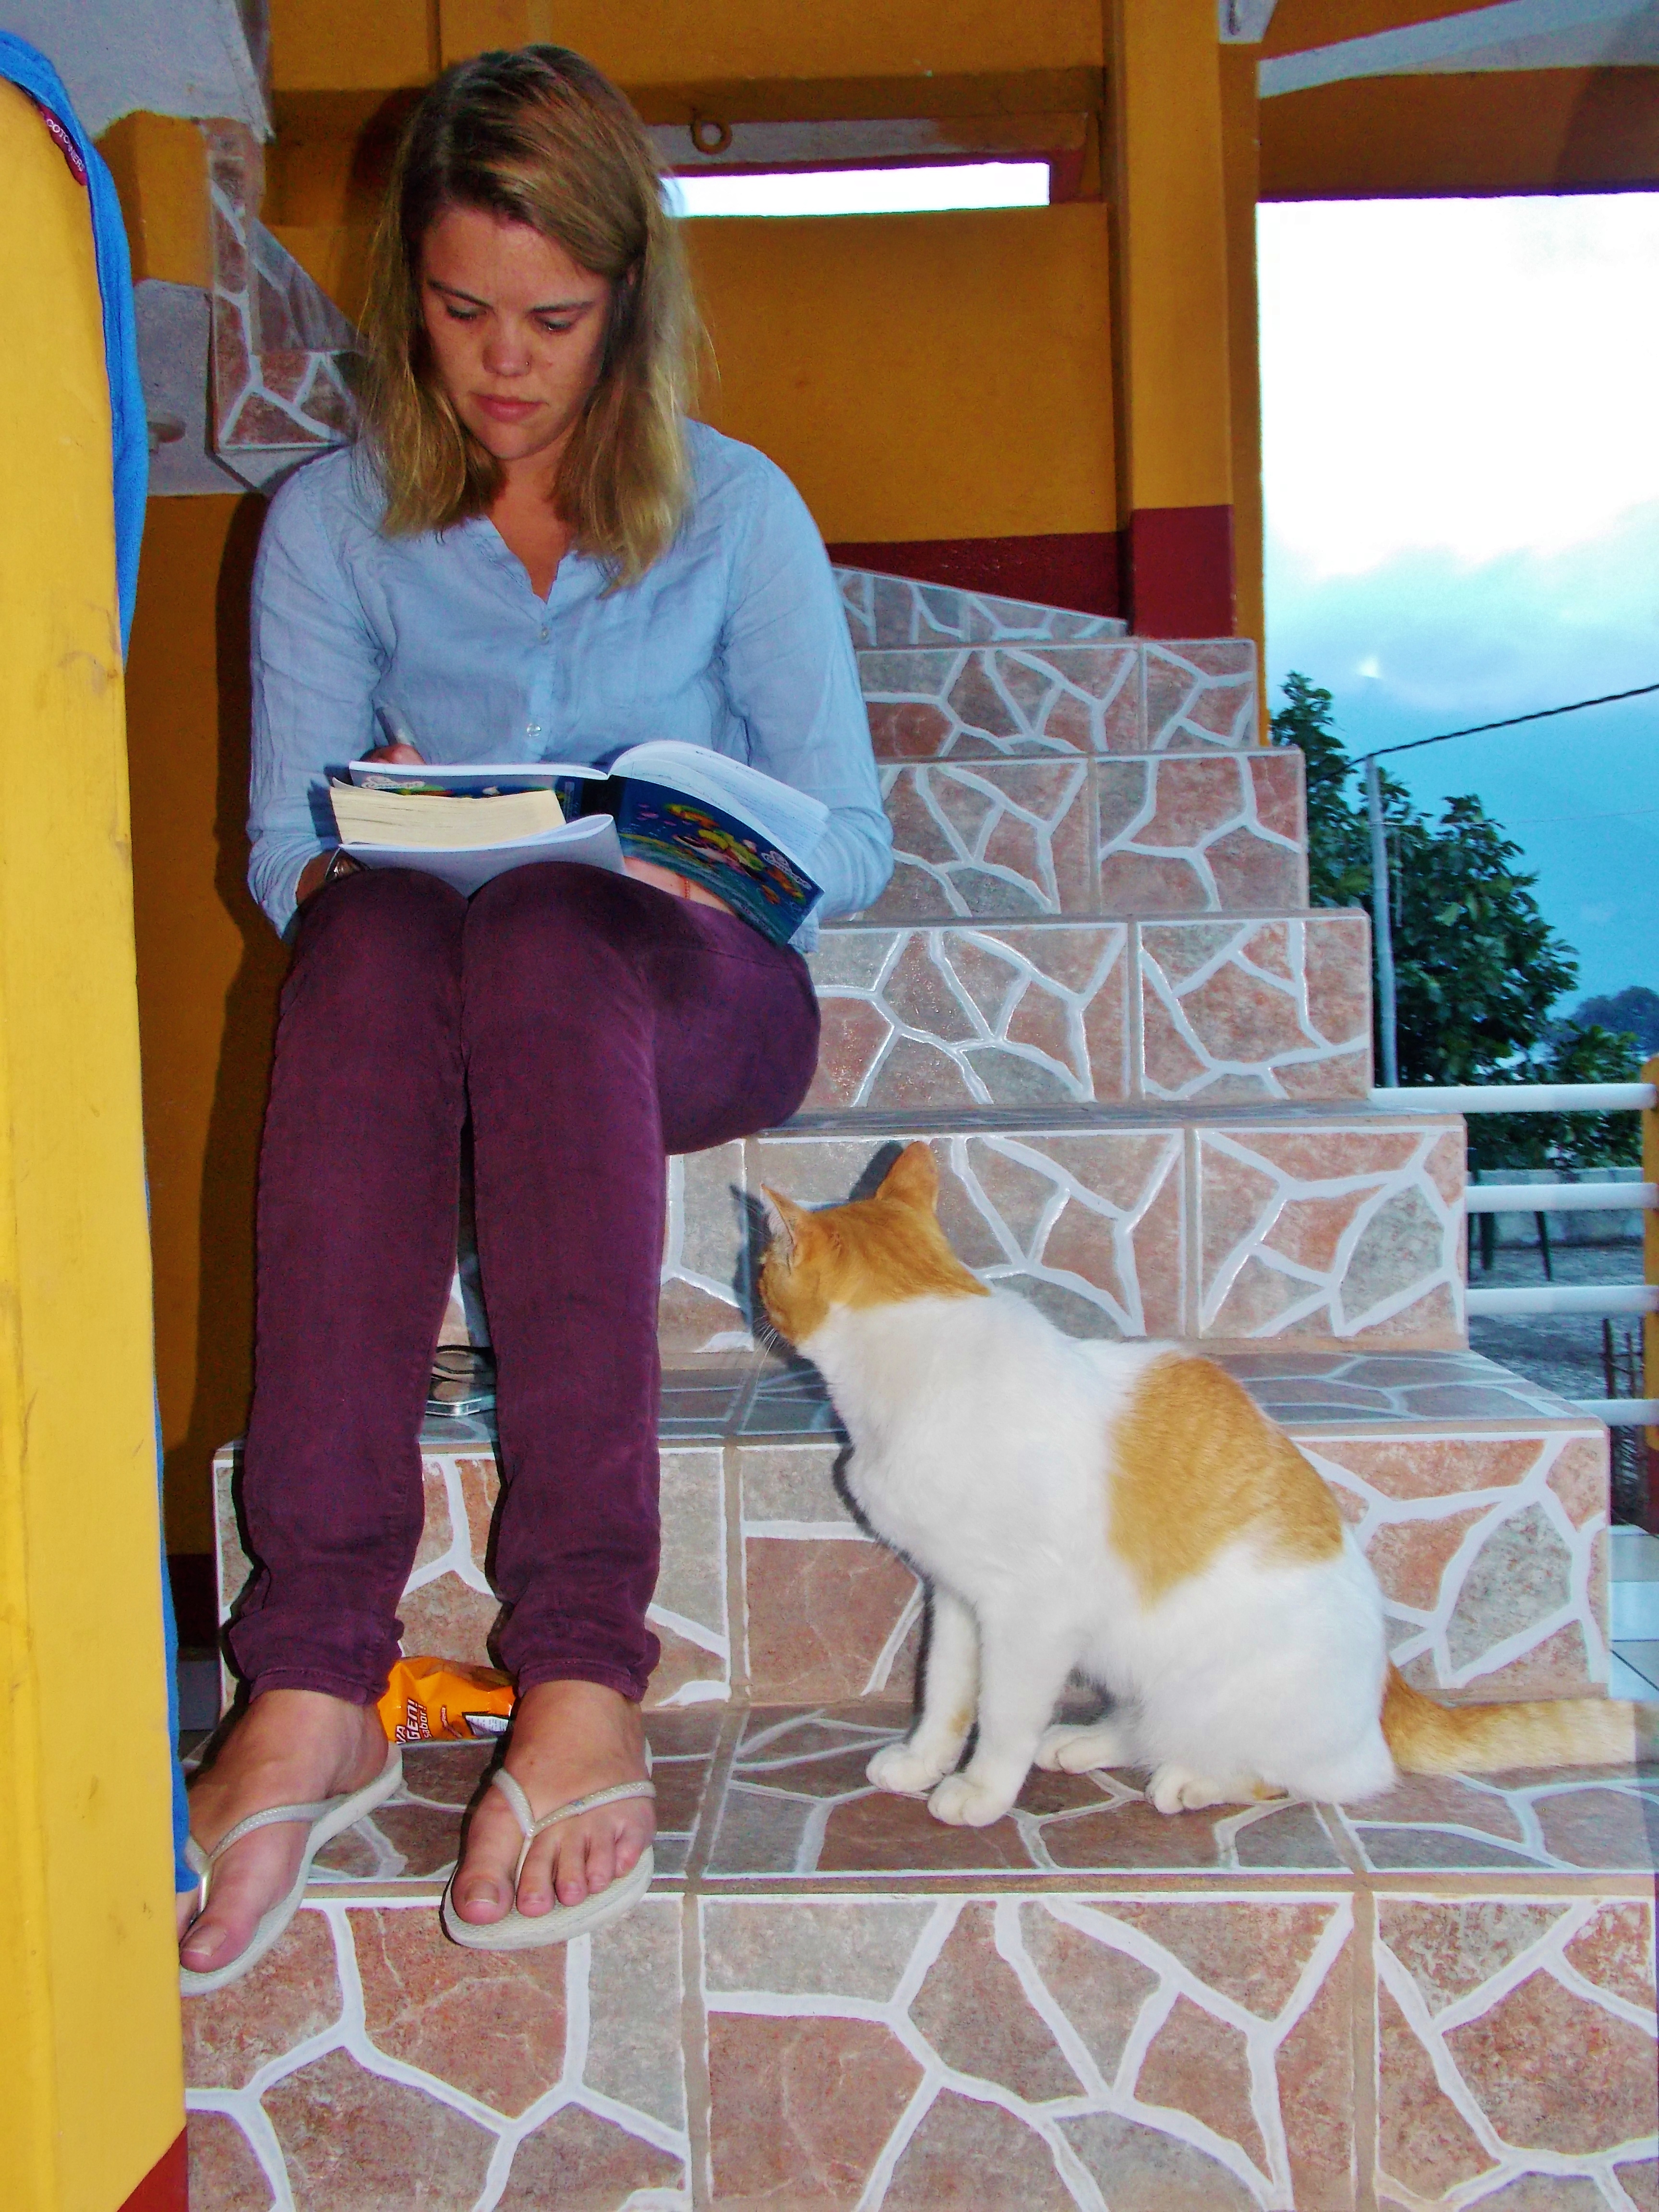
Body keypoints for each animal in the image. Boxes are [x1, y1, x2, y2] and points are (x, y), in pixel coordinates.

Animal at [758, 1141, 1654, 1828]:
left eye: (764, 1263)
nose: (754, 1285)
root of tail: (1390, 1689)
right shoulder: (955, 1597)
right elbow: (946, 1694)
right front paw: (921, 1764)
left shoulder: (1028, 1614)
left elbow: (1004, 1713)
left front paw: (980, 1791)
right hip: (1140, 1666)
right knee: (1153, 1724)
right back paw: (1089, 1741)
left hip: (1224, 1691)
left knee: (1303, 1775)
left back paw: (1191, 1781)